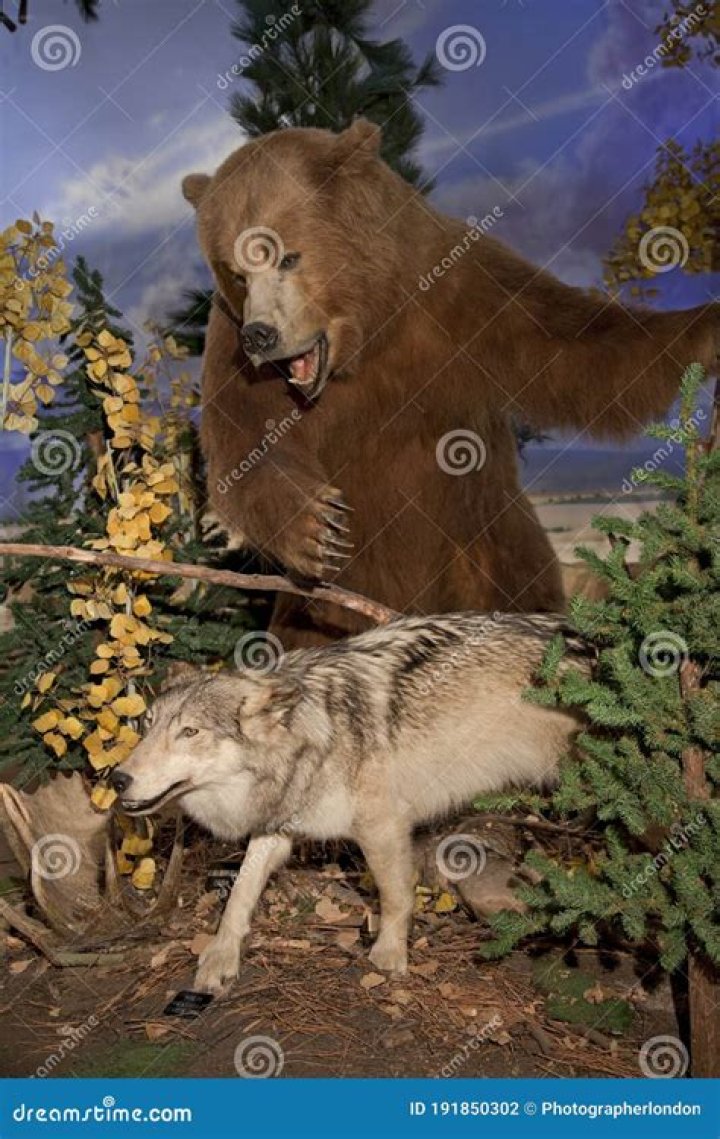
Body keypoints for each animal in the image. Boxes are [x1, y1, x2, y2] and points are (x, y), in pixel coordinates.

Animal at [182, 119, 717, 648]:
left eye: (287, 257)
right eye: (236, 272)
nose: (261, 335)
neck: (369, 332)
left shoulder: (463, 295)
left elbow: (575, 348)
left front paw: (704, 328)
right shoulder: (231, 349)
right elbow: (244, 444)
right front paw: (316, 528)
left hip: (489, 551)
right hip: (322, 608)